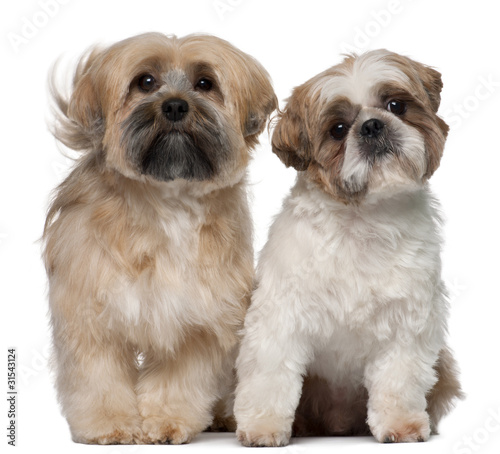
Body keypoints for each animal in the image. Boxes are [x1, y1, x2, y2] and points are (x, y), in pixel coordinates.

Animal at [42, 33, 278, 446]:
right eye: (146, 82)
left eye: (205, 83)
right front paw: (110, 425)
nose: (175, 106)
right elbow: (98, 377)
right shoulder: (90, 313)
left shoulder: (197, 317)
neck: (167, 202)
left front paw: (166, 422)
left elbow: (178, 379)